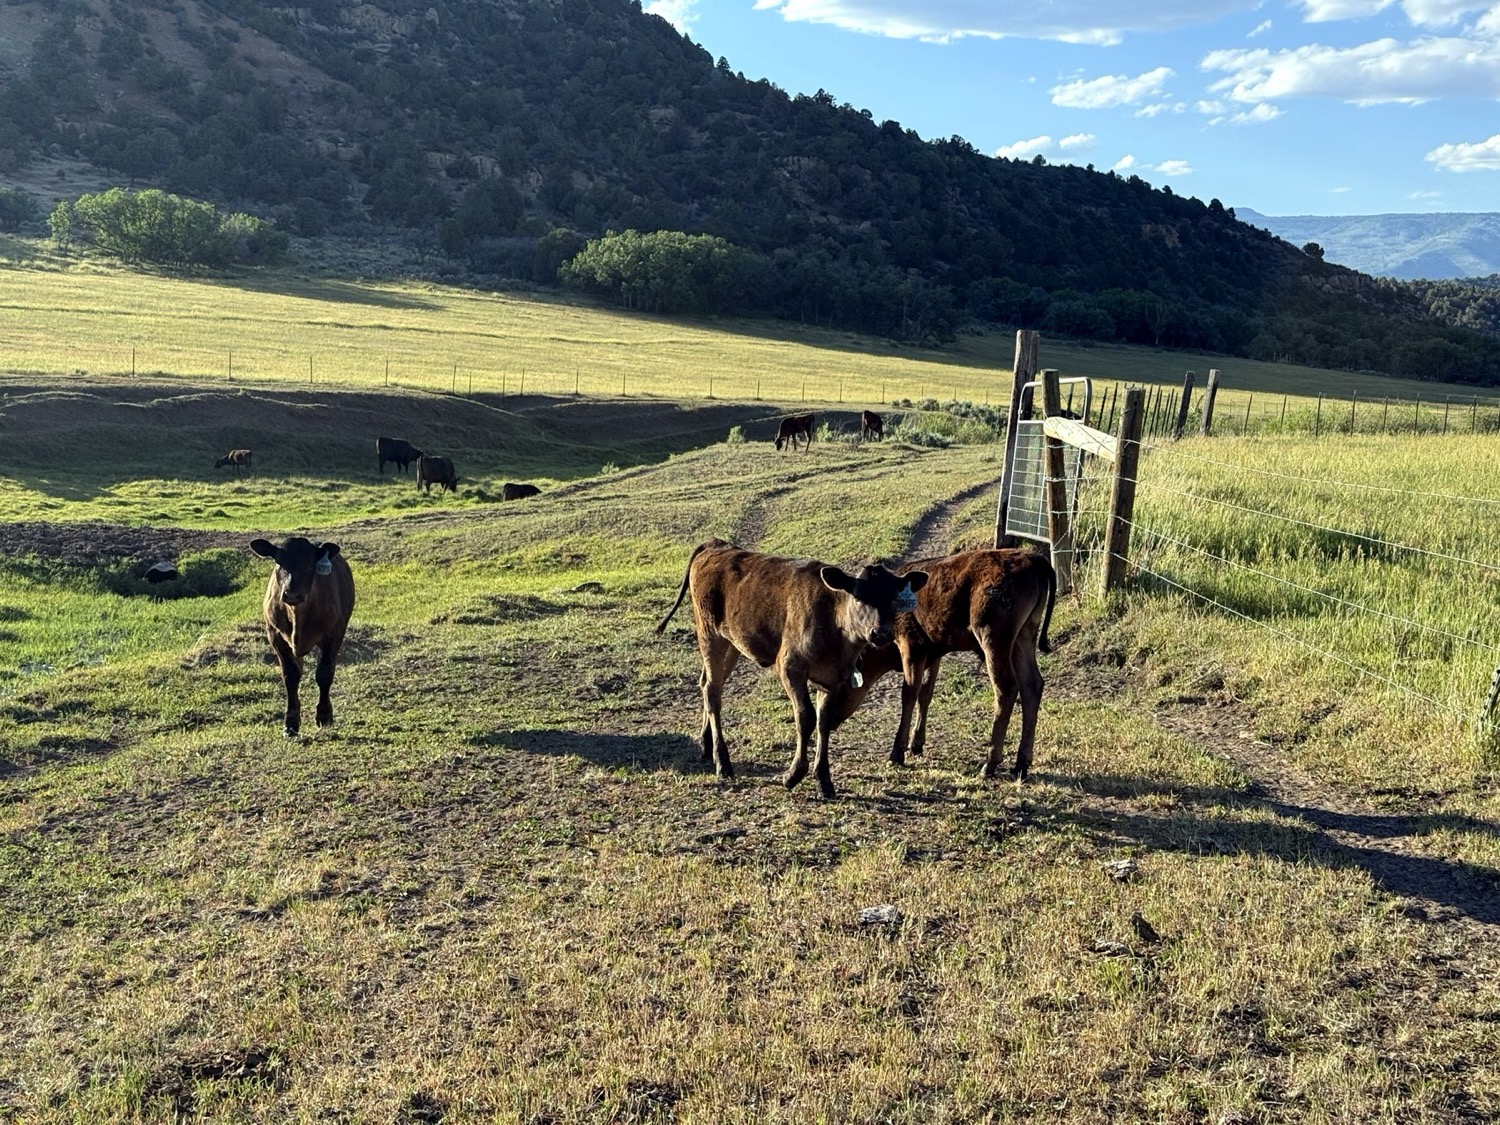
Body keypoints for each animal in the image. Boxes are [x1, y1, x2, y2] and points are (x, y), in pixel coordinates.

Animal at [249, 536, 356, 738]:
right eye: (279, 562)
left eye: (310, 565)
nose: (292, 594)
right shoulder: (275, 635)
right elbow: (291, 676)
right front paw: (290, 724)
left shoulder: (334, 633)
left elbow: (324, 673)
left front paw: (324, 715)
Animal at [655, 538, 928, 798]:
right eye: (859, 596)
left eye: (894, 598)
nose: (880, 633)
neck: (834, 624)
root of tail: (717, 544)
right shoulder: (790, 666)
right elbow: (805, 717)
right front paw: (793, 774)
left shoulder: (834, 678)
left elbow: (823, 722)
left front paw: (824, 780)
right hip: (709, 633)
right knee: (712, 691)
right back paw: (723, 763)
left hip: (733, 642)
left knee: (708, 684)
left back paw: (707, 745)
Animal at [825, 548, 1055, 780]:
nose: (828, 719)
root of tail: (1031, 557)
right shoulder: (932, 653)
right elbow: (925, 694)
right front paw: (916, 744)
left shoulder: (911, 646)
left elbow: (909, 694)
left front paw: (897, 753)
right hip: (1024, 635)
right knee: (1032, 685)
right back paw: (1021, 764)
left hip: (993, 636)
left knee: (1006, 688)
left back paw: (989, 764)